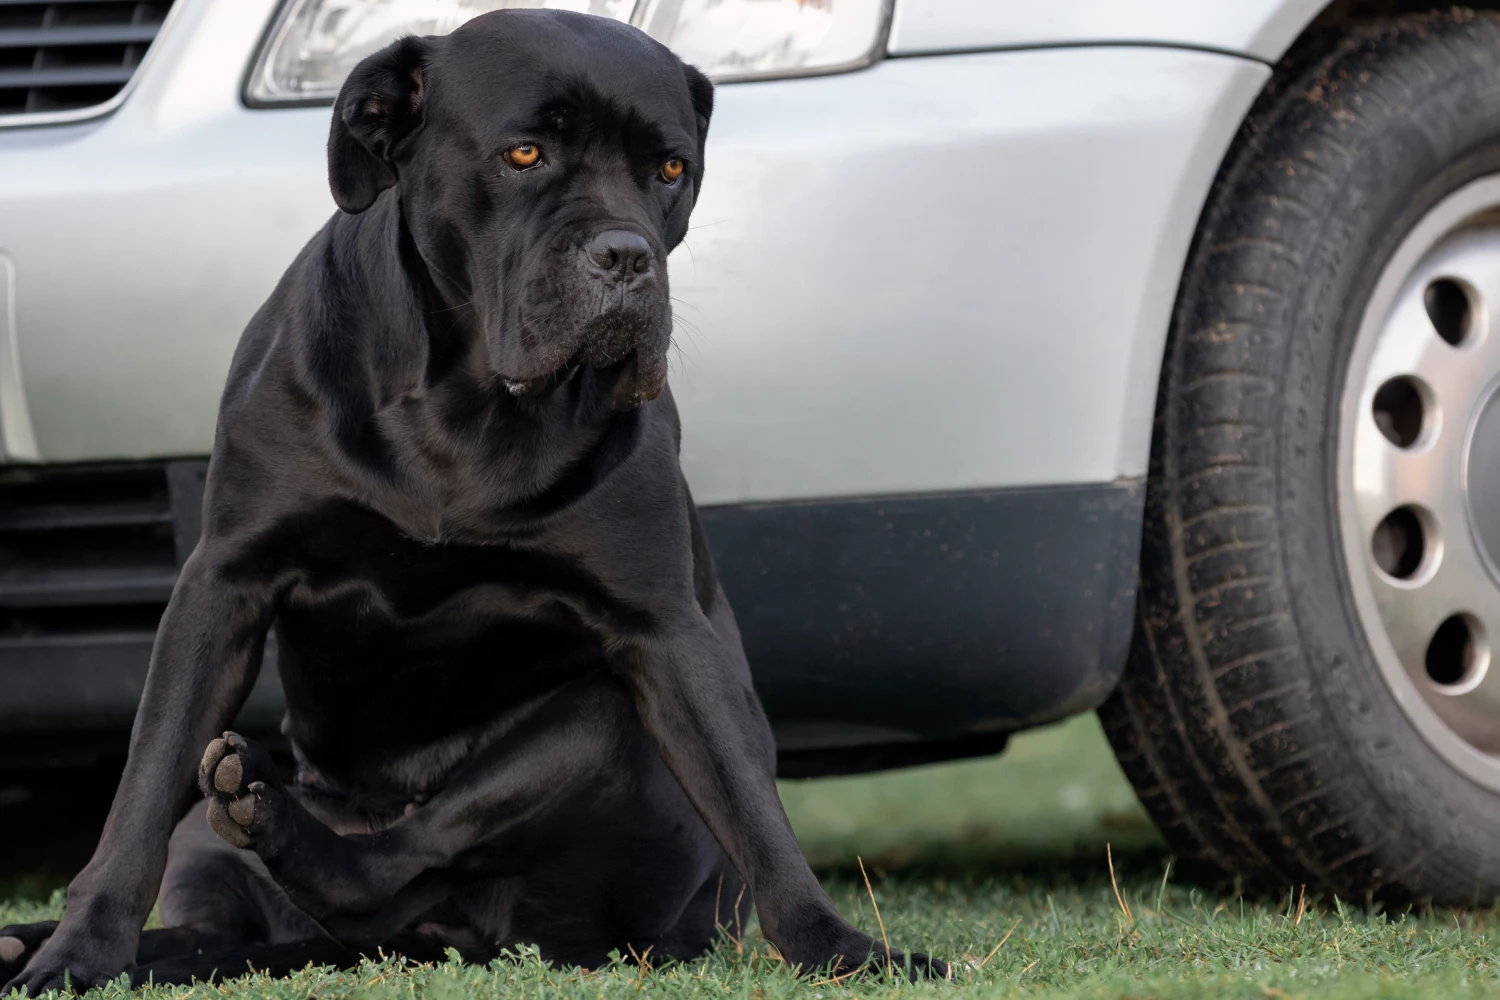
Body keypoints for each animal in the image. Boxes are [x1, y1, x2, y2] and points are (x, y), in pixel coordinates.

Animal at [0, 9, 942, 995]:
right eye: (524, 154)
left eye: (670, 170)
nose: (628, 257)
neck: (464, 401)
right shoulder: (224, 582)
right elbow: (140, 792)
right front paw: (77, 951)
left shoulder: (664, 631)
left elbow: (752, 804)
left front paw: (839, 947)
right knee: (214, 905)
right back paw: (53, 927)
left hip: (605, 727)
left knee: (396, 860)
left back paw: (274, 818)